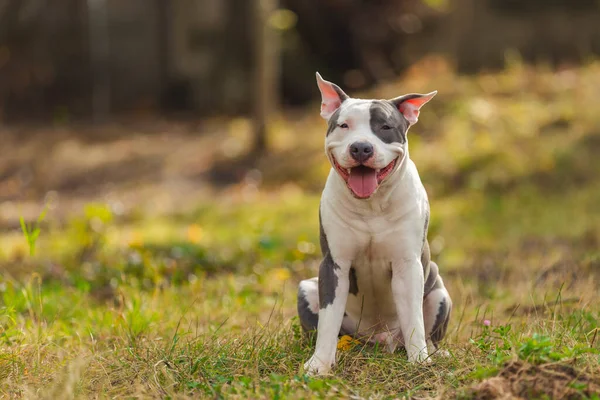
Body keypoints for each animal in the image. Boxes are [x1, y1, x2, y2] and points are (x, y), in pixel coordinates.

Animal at [298, 72, 452, 376]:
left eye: (385, 127)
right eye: (344, 125)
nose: (361, 147)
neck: (371, 206)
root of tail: (380, 341)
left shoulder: (407, 265)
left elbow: (414, 319)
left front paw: (420, 361)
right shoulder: (334, 265)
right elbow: (328, 320)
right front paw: (319, 364)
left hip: (440, 292)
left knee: (429, 331)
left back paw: (435, 353)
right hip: (306, 289)